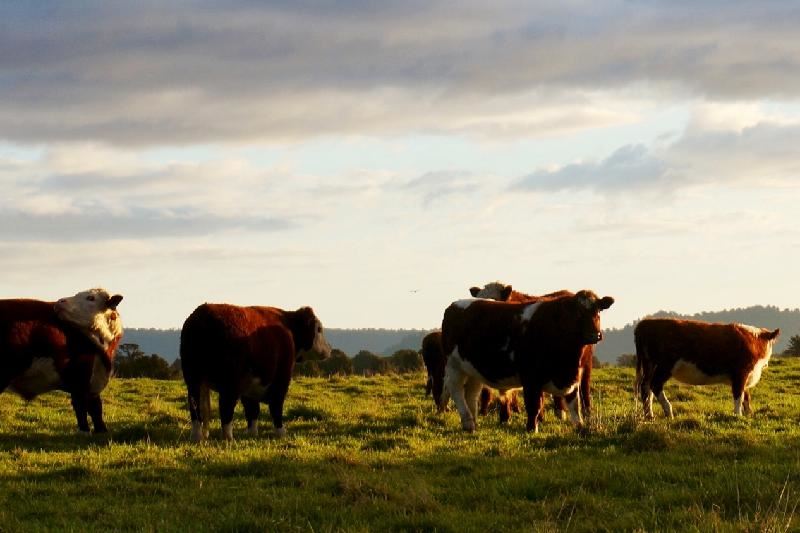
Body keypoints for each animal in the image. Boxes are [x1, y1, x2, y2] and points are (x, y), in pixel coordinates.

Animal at [0, 286, 123, 432]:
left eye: (91, 298)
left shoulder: (91, 383)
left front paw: (101, 431)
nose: (60, 301)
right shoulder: (80, 378)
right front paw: (85, 431)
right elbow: (82, 408)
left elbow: (95, 409)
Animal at [181, 304, 332, 440]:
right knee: (226, 407)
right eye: (319, 329)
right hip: (229, 382)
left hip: (193, 380)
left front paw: (252, 433)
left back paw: (197, 436)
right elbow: (276, 406)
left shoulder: (250, 385)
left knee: (195, 407)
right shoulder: (281, 379)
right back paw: (228, 437)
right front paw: (281, 432)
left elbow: (252, 409)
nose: (329, 349)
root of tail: (203, 315)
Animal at [636, 318, 780, 418]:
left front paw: (749, 414)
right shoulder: (740, 373)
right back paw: (668, 411)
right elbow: (739, 396)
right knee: (654, 385)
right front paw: (738, 415)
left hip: (649, 365)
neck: (754, 341)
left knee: (646, 387)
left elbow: (746, 396)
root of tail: (645, 323)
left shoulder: (744, 376)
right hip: (665, 366)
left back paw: (649, 415)